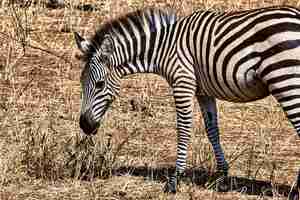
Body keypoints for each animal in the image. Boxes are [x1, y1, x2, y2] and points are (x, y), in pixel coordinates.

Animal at [75, 5, 300, 197]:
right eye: (81, 82)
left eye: (100, 85)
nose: (85, 126)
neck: (163, 47)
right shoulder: (203, 91)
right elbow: (212, 130)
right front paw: (222, 176)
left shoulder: (183, 82)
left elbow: (183, 130)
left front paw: (175, 180)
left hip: (285, 80)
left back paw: (296, 189)